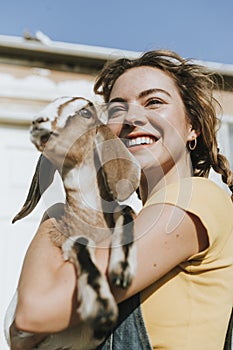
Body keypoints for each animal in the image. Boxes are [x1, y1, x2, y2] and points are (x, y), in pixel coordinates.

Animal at [10, 96, 140, 350]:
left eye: (84, 112)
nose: (37, 121)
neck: (91, 220)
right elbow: (80, 243)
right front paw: (101, 307)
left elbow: (126, 211)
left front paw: (122, 270)